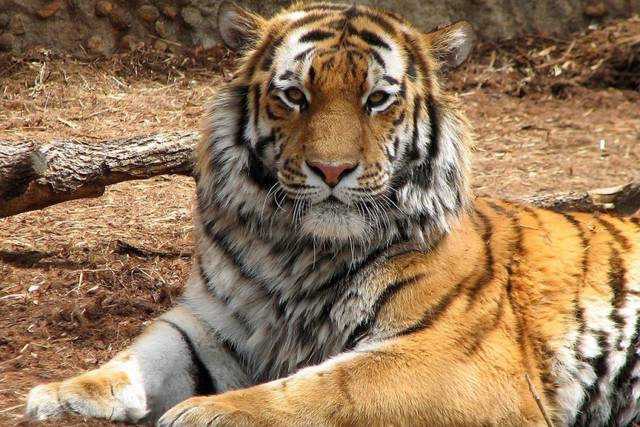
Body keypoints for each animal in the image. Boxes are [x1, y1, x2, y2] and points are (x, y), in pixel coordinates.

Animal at [24, 1, 640, 426]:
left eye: (378, 99)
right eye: (295, 96)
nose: (331, 169)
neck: (299, 251)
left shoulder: (454, 358)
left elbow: (331, 386)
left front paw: (208, 412)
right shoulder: (212, 325)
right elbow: (139, 355)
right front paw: (61, 396)